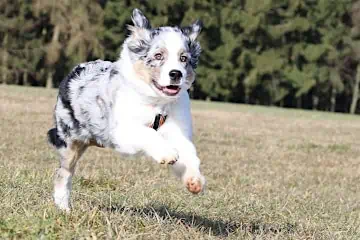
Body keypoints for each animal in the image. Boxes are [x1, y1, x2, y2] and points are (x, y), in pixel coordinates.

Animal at [47, 8, 205, 211]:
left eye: (183, 58)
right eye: (158, 56)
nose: (176, 74)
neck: (157, 102)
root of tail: (74, 71)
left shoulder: (178, 131)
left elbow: (189, 154)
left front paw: (194, 180)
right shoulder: (121, 131)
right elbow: (148, 133)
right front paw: (167, 153)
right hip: (70, 141)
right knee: (63, 173)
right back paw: (63, 208)